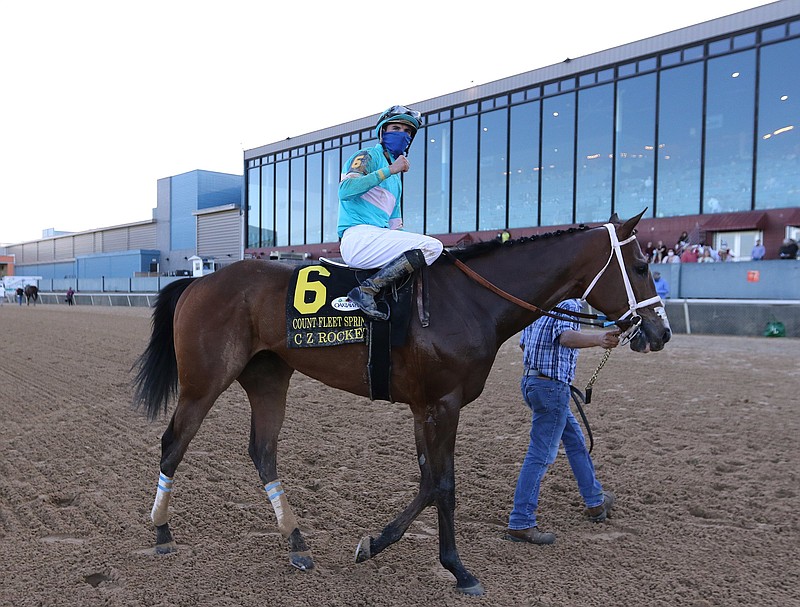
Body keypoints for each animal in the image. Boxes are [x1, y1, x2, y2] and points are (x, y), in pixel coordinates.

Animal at [133, 211, 668, 596]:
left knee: (262, 451)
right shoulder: (444, 404)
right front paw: (458, 570)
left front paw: (375, 544)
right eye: (642, 267)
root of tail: (199, 281)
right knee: (173, 443)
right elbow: (445, 485)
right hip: (204, 382)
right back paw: (162, 534)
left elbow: (429, 482)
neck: (469, 300)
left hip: (268, 378)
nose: (660, 331)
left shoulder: (422, 406)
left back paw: (297, 544)